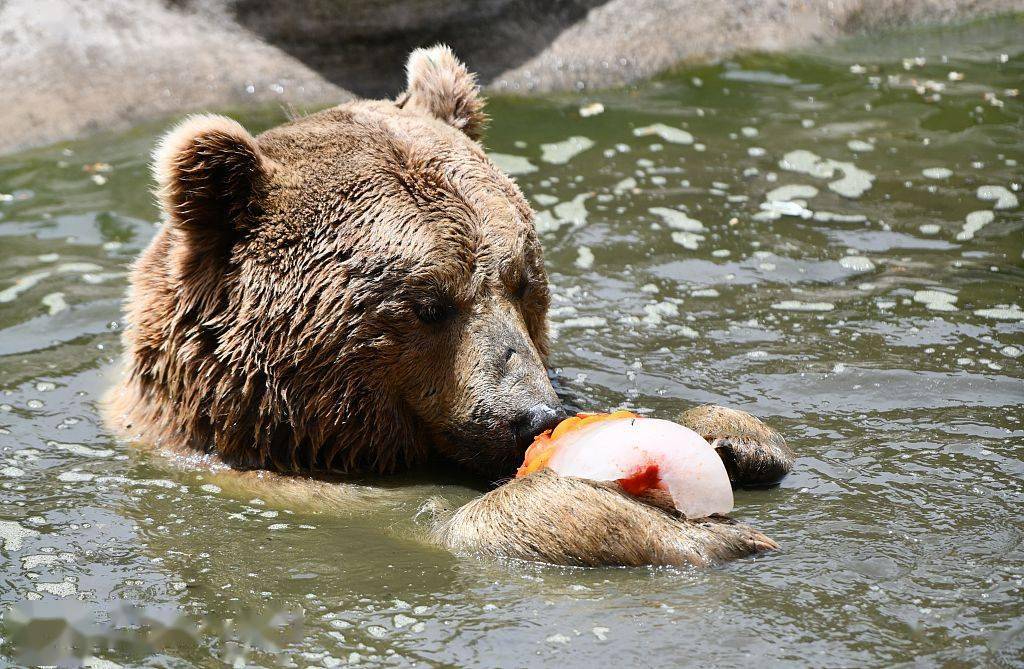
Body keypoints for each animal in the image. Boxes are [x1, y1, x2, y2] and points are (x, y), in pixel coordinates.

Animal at [103, 44, 790, 565]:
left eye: (522, 281)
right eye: (429, 303)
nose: (532, 415)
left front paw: (733, 436)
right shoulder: (293, 489)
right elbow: (443, 516)